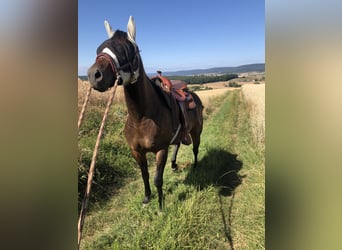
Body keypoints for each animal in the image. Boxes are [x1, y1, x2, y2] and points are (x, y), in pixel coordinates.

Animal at [87, 16, 203, 209]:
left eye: (127, 50)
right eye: (99, 49)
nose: (94, 75)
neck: (141, 118)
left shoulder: (160, 150)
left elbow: (157, 179)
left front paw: (161, 206)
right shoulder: (136, 151)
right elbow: (145, 175)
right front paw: (147, 198)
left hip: (196, 131)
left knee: (195, 149)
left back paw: (194, 166)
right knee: (178, 145)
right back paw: (174, 164)